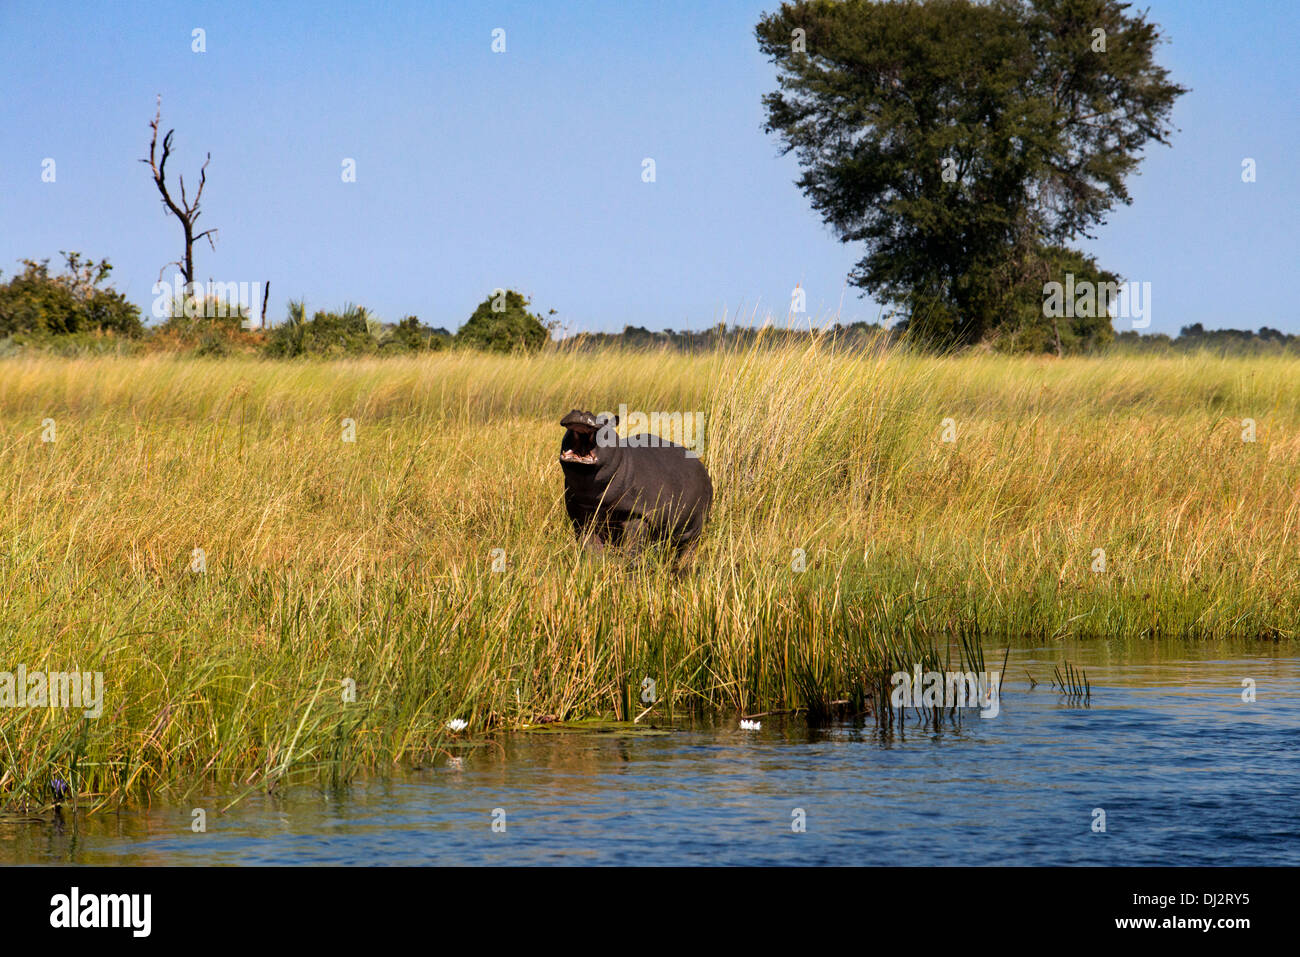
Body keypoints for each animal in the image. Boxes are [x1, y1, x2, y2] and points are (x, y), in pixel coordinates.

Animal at [559, 408, 717, 561]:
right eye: (573, 409)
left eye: (605, 421)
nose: (582, 412)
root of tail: (704, 471)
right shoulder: (582, 516)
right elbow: (590, 548)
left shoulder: (635, 513)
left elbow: (633, 546)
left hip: (696, 526)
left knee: (689, 549)